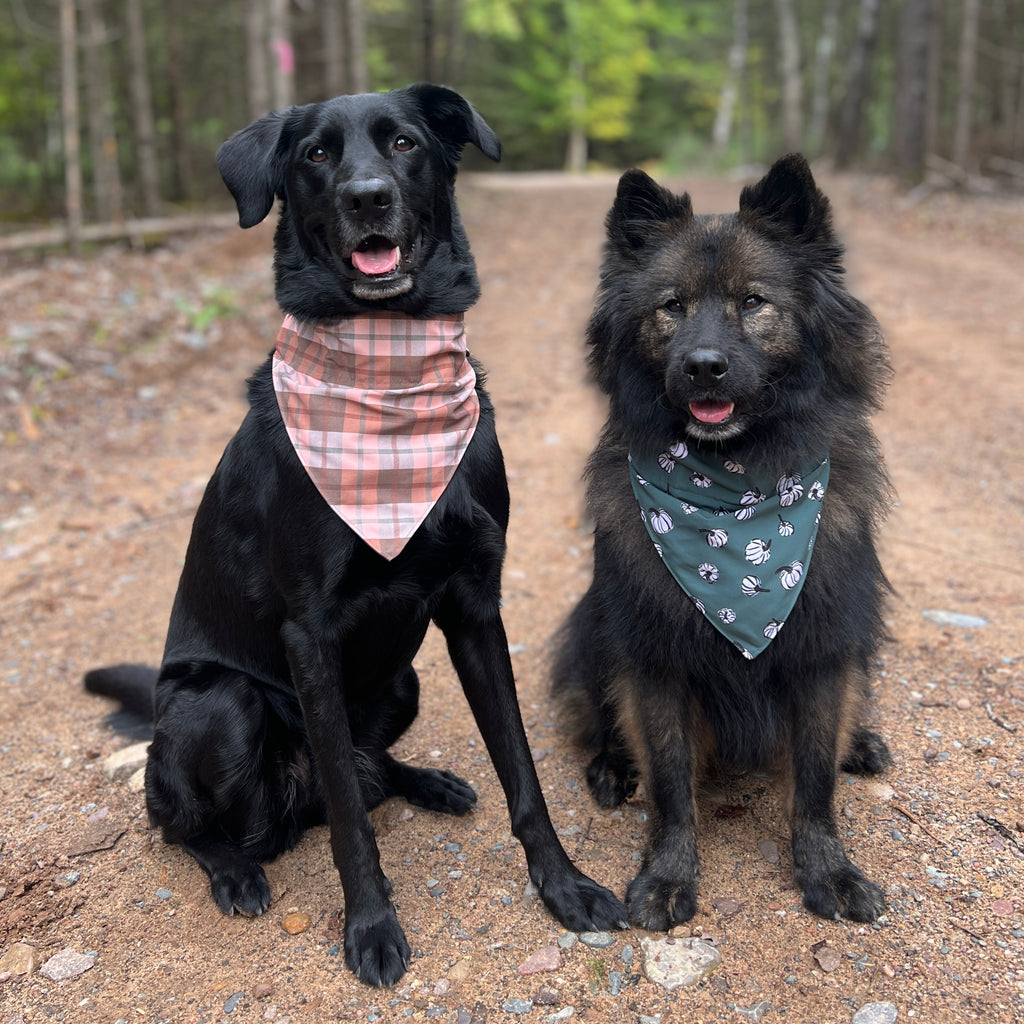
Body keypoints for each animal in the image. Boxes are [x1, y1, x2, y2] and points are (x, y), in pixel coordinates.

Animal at [88, 86, 626, 983]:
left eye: (403, 143)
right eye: (315, 156)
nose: (367, 198)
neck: (390, 377)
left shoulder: (475, 607)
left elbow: (522, 775)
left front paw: (565, 886)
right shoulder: (310, 635)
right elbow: (347, 813)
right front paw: (371, 926)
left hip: (401, 682)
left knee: (369, 772)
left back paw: (427, 782)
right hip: (221, 704)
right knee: (188, 819)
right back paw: (234, 869)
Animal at [557, 155, 892, 933]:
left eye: (753, 302)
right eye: (672, 307)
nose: (704, 365)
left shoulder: (823, 647)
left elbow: (814, 781)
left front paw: (828, 870)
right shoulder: (655, 658)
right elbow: (671, 785)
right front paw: (667, 877)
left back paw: (862, 740)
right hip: (592, 624)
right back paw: (612, 765)